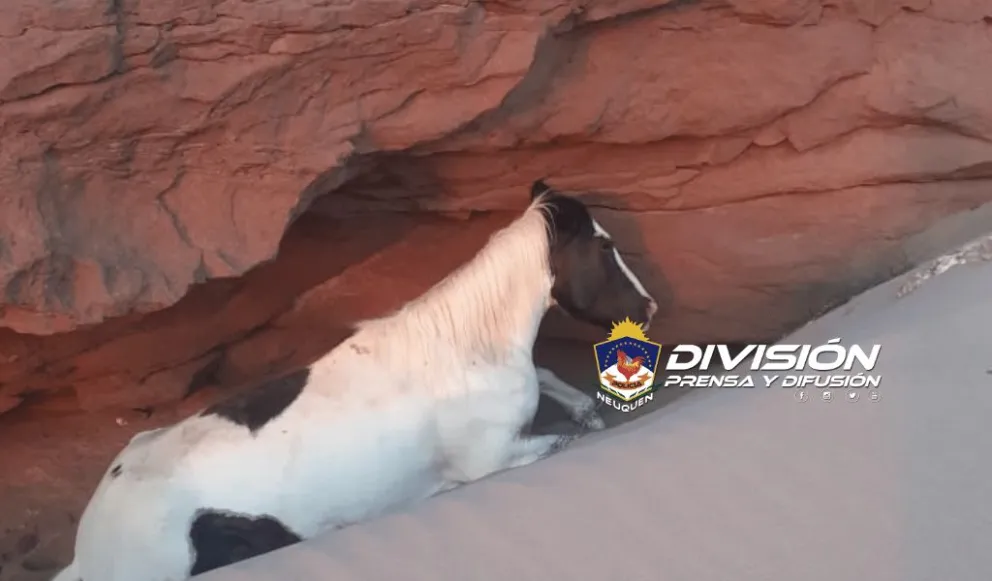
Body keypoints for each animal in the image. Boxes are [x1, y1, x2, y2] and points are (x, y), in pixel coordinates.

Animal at [53, 179, 658, 581]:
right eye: (605, 248)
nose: (649, 307)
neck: (464, 349)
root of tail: (88, 548)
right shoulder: (491, 460)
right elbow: (568, 438)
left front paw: (585, 406)